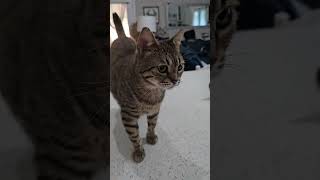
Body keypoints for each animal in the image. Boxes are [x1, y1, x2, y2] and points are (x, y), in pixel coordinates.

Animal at [110, 13, 184, 163]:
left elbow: (152, 124)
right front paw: (138, 150)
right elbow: (134, 135)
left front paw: (150, 136)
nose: (176, 80)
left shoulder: (155, 110)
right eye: (162, 68)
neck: (151, 92)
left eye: (180, 67)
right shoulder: (128, 115)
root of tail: (122, 37)